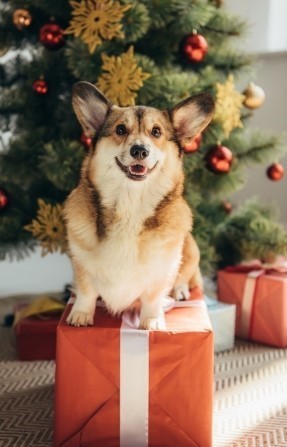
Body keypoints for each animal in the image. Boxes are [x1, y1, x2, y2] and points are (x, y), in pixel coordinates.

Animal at [64, 82, 215, 330]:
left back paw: (180, 291)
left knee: (188, 278)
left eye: (156, 132)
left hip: (190, 250)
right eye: (120, 130)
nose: (140, 150)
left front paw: (151, 321)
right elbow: (86, 291)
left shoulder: (161, 268)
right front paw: (81, 314)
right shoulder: (81, 262)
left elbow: (152, 297)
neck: (130, 203)